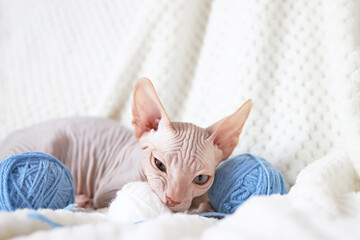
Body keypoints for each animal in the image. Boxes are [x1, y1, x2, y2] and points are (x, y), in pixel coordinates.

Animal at [0, 78, 252, 212]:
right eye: (159, 164)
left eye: (201, 179)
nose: (173, 198)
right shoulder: (107, 190)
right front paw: (196, 209)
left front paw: (204, 206)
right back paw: (81, 200)